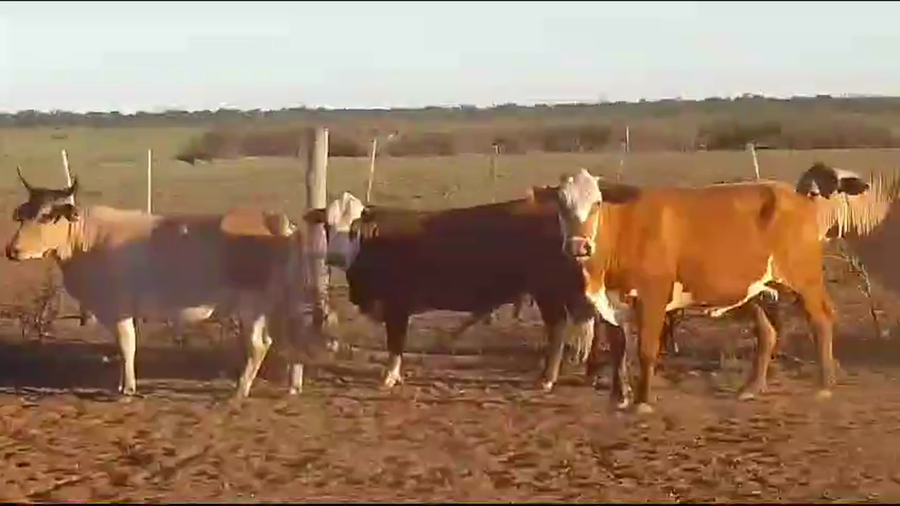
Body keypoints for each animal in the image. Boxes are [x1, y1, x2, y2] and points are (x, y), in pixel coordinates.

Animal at [5, 167, 316, 399]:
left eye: (47, 216)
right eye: (24, 214)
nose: (11, 250)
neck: (88, 239)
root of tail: (272, 219)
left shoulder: (119, 307)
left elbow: (126, 345)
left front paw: (127, 389)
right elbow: (125, 346)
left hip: (252, 305)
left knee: (259, 345)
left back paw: (240, 391)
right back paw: (292, 385)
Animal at [303, 192, 596, 391]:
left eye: (353, 228)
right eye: (327, 226)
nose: (335, 256)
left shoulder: (397, 304)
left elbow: (395, 342)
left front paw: (390, 376)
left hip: (548, 291)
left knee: (557, 328)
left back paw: (546, 378)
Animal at [547, 167, 853, 414]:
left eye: (596, 204)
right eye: (562, 204)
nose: (578, 246)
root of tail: (798, 197)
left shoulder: (652, 297)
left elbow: (646, 349)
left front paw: (642, 402)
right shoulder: (612, 303)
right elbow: (618, 348)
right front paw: (617, 397)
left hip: (805, 281)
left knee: (821, 321)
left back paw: (824, 385)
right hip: (756, 289)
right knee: (768, 333)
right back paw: (751, 388)